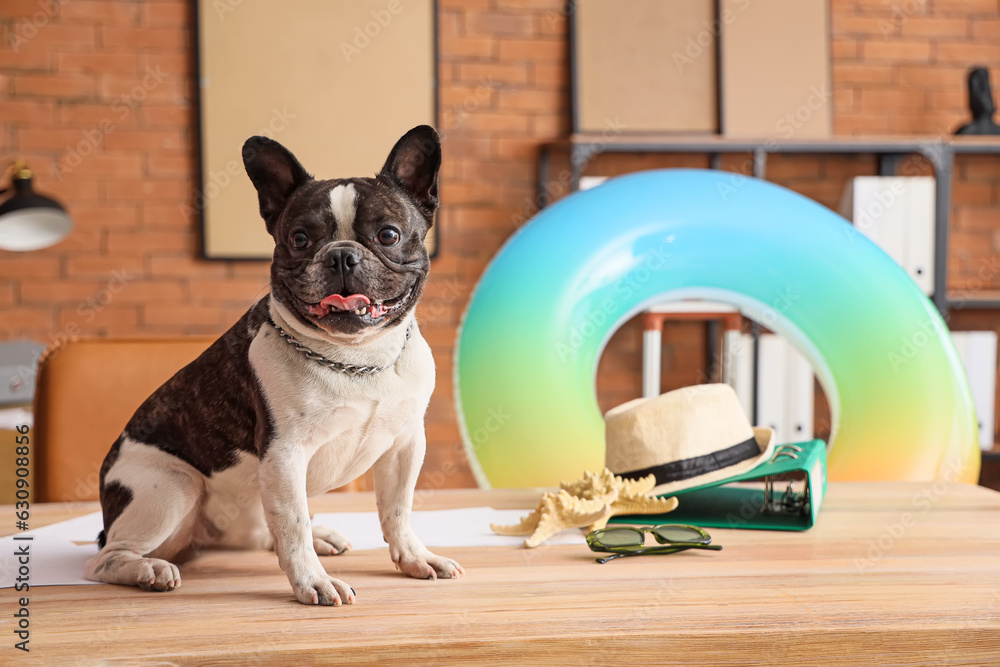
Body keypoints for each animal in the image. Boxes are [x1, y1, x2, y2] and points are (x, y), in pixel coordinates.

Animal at [86, 124, 460, 604]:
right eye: (300, 239)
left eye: (389, 235)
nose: (341, 254)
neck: (357, 358)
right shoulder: (285, 455)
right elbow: (294, 525)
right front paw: (313, 582)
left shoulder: (404, 446)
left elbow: (397, 510)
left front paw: (414, 557)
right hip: (171, 489)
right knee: (107, 558)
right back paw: (147, 569)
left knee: (267, 531)